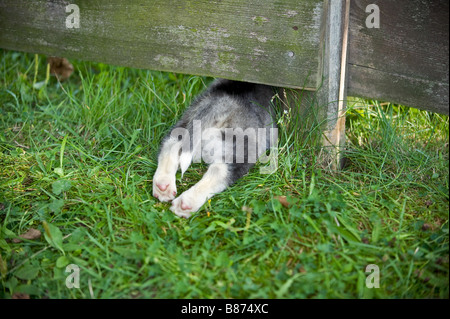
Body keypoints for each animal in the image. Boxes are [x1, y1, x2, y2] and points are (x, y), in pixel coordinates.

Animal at [153, 79, 276, 219]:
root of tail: (223, 104)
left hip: (185, 122)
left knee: (170, 145)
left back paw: (163, 185)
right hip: (243, 148)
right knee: (221, 170)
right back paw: (186, 202)